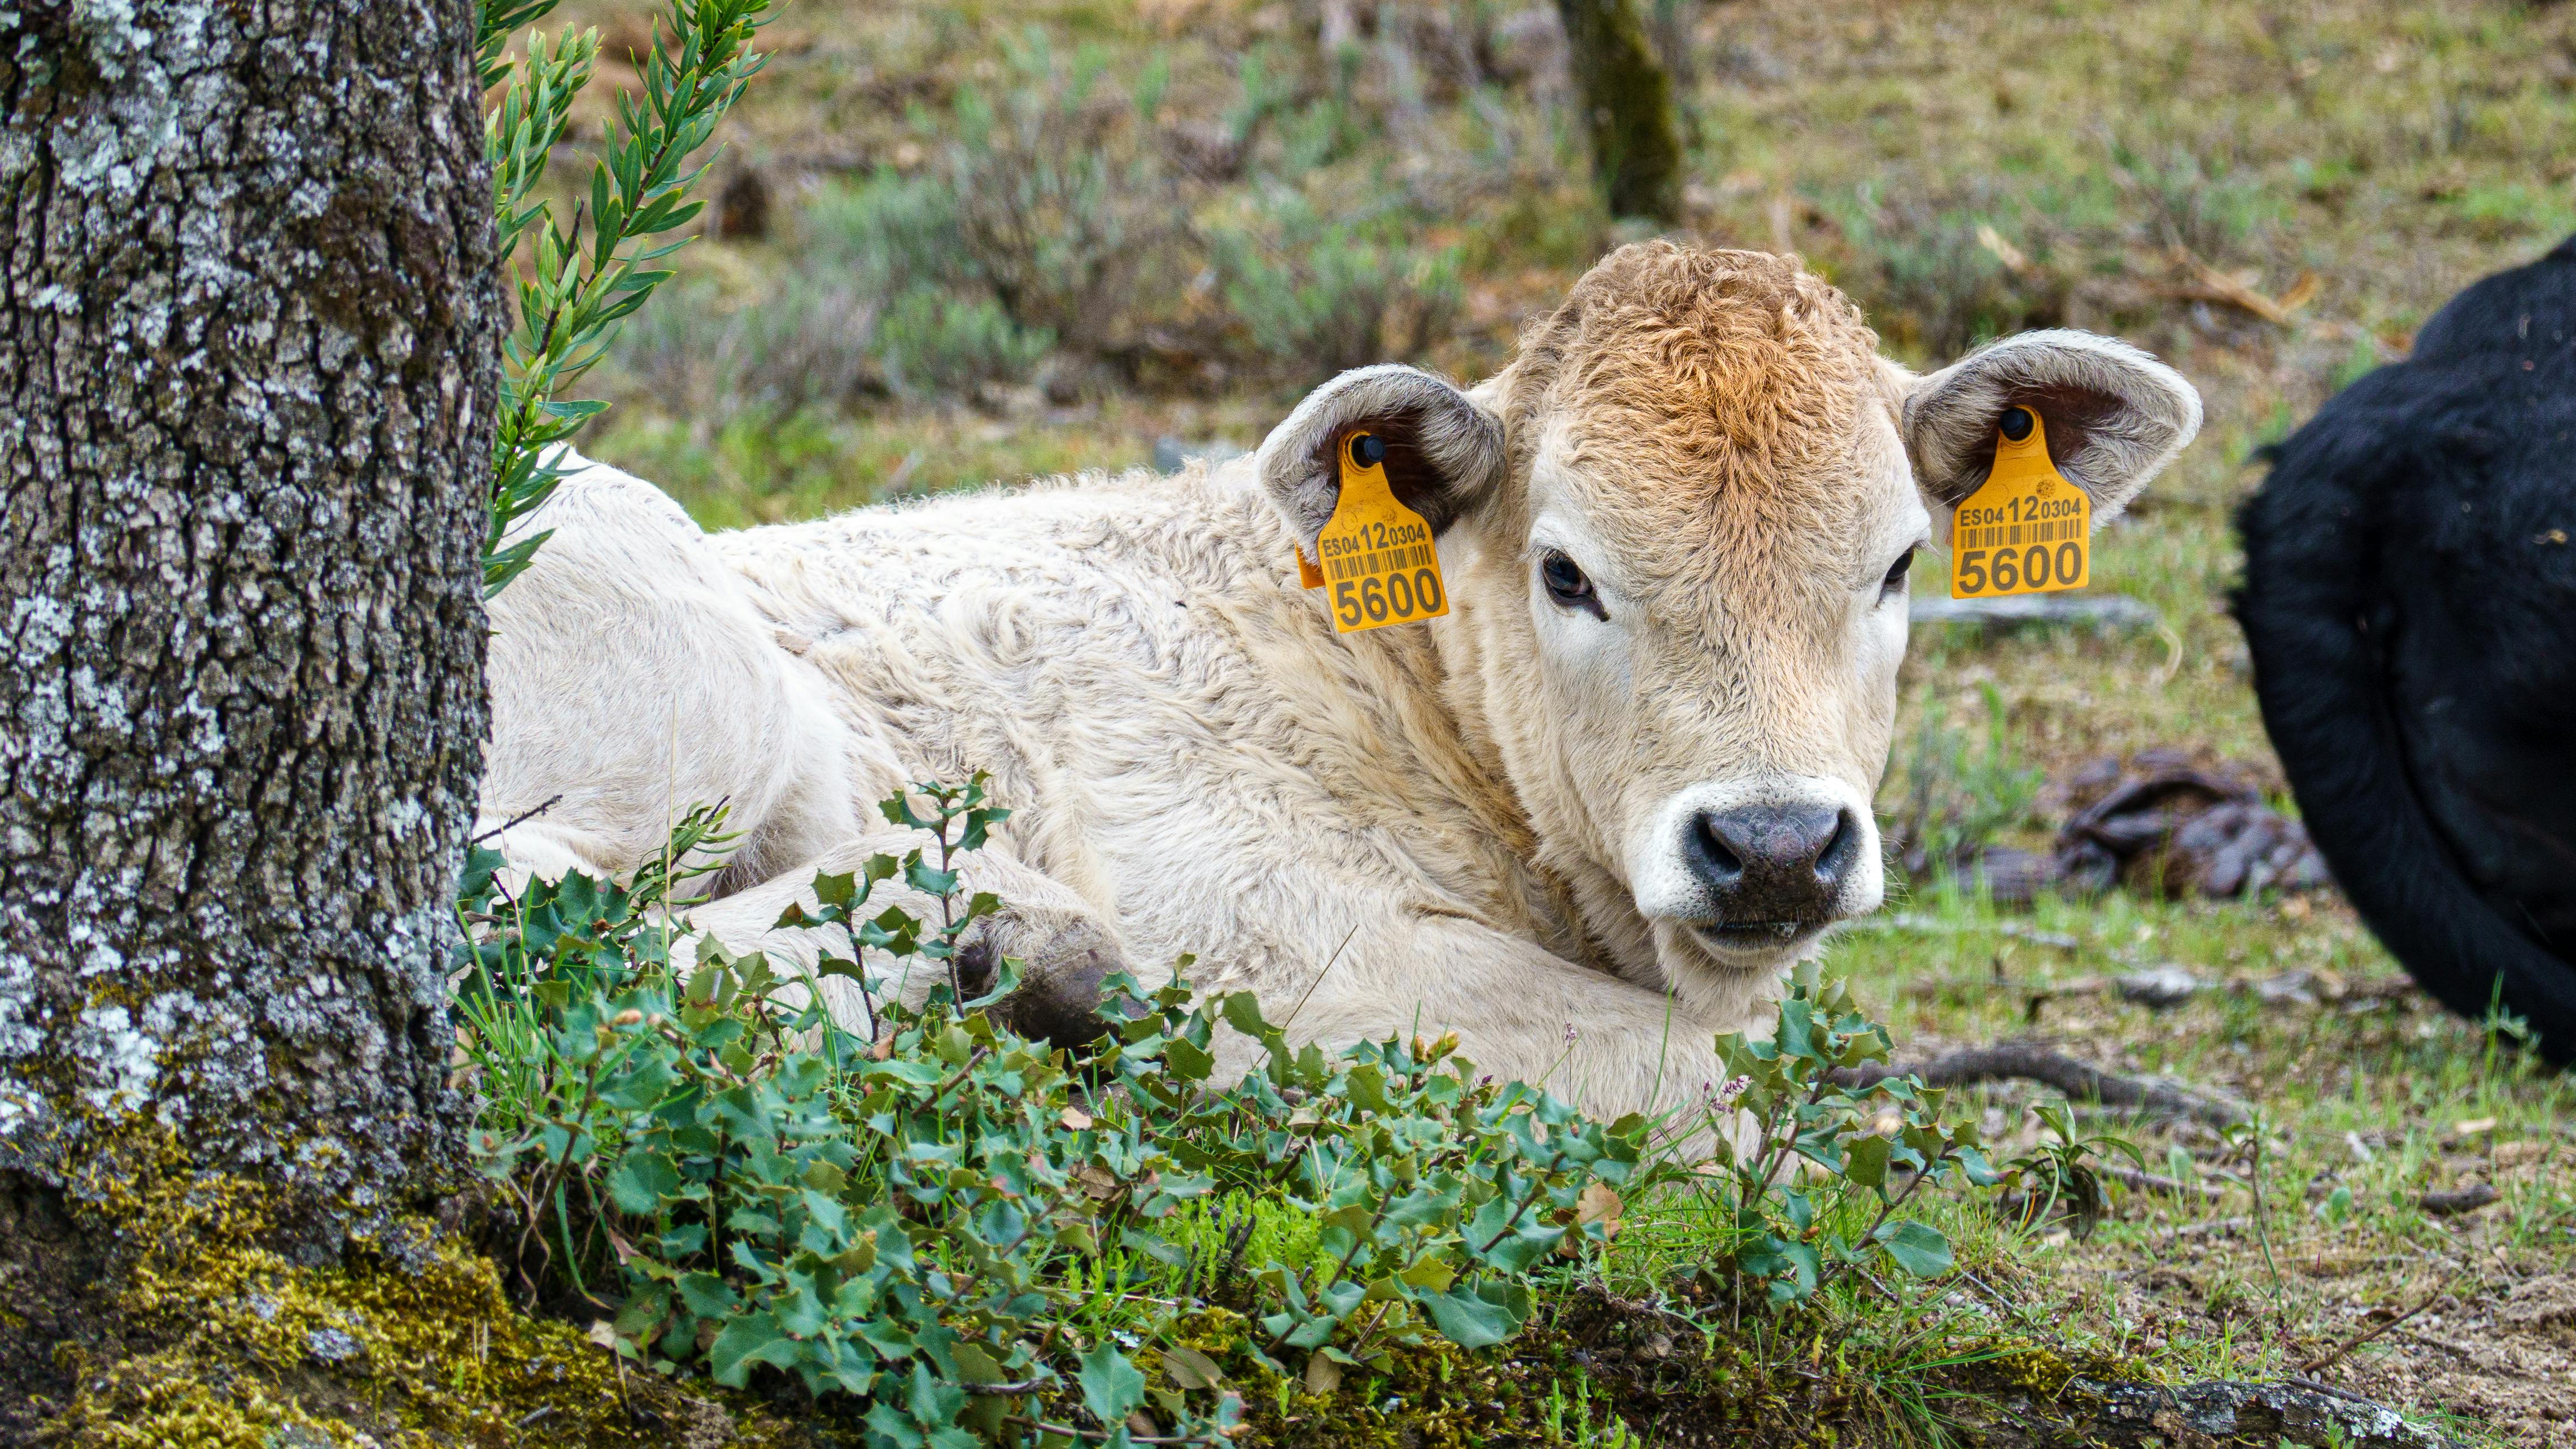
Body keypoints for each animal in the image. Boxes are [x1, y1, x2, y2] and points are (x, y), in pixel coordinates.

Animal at [484, 242, 2194, 1124]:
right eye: (1566, 572)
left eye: (1899, 563)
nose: (1773, 843)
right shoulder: (1267, 911)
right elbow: (1725, 1087)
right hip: (683, 676)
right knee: (537, 925)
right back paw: (1014, 947)